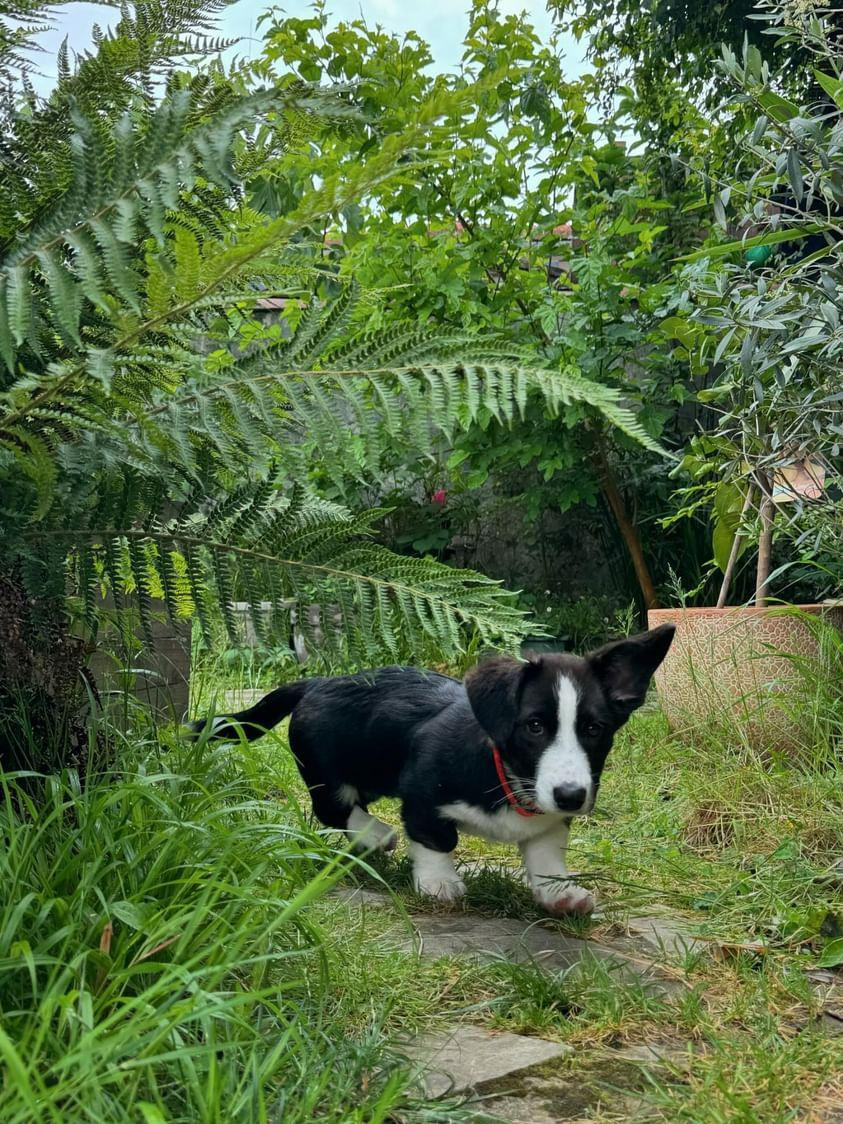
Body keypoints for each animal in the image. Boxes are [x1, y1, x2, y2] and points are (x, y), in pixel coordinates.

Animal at [191, 624, 674, 915]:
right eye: (534, 726)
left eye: (594, 729)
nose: (571, 796)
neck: (505, 776)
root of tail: (317, 681)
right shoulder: (422, 793)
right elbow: (436, 839)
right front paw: (439, 883)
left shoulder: (549, 823)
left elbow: (545, 855)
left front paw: (560, 893)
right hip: (327, 772)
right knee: (333, 809)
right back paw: (375, 835)